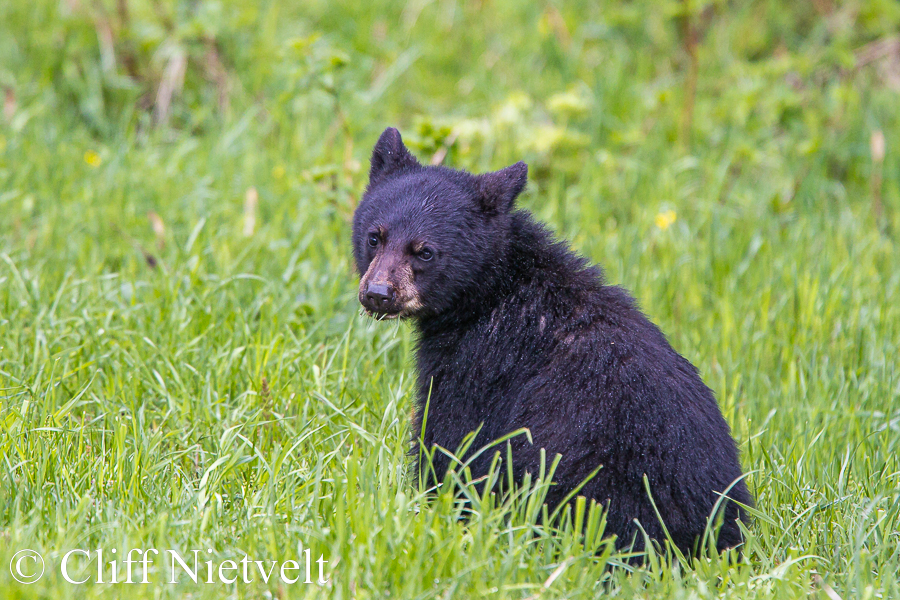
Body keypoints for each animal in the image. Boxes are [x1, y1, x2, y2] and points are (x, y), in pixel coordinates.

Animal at [352, 127, 752, 557]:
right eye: (375, 236)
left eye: (424, 251)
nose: (378, 293)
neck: (495, 288)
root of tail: (710, 539)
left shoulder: (479, 361)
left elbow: (452, 437)